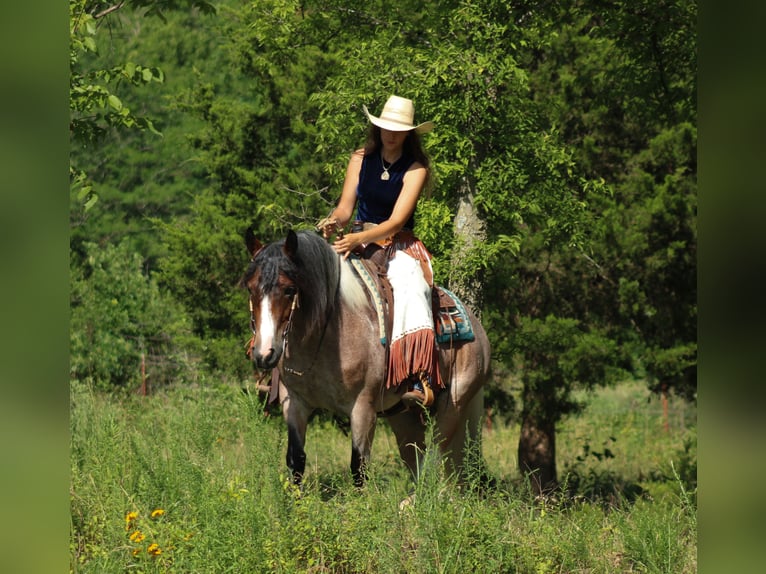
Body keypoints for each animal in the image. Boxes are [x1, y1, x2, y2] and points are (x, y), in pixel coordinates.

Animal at [242, 228, 491, 487]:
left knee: (435, 458)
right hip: (404, 416)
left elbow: (359, 469)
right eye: (250, 288)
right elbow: (296, 461)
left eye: (289, 289)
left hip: (454, 403)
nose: (264, 354)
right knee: (418, 459)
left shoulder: (363, 408)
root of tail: (476, 327)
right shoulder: (294, 403)